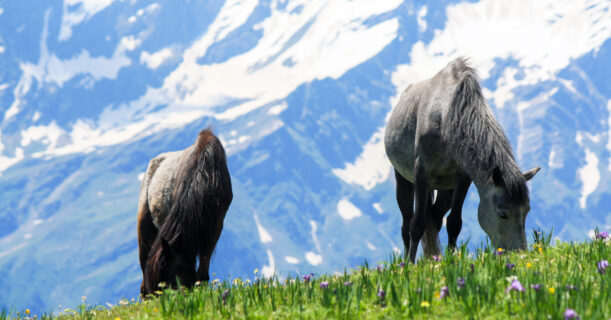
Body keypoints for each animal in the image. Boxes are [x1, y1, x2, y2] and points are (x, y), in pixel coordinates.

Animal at [388, 57, 540, 262]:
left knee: (435, 217)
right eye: (502, 214)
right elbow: (416, 224)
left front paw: (453, 259)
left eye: (527, 211)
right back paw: (407, 260)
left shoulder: (462, 178)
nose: (519, 253)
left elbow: (454, 222)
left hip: (445, 188)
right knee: (406, 224)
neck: (445, 117)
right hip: (404, 179)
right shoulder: (421, 174)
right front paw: (410, 265)